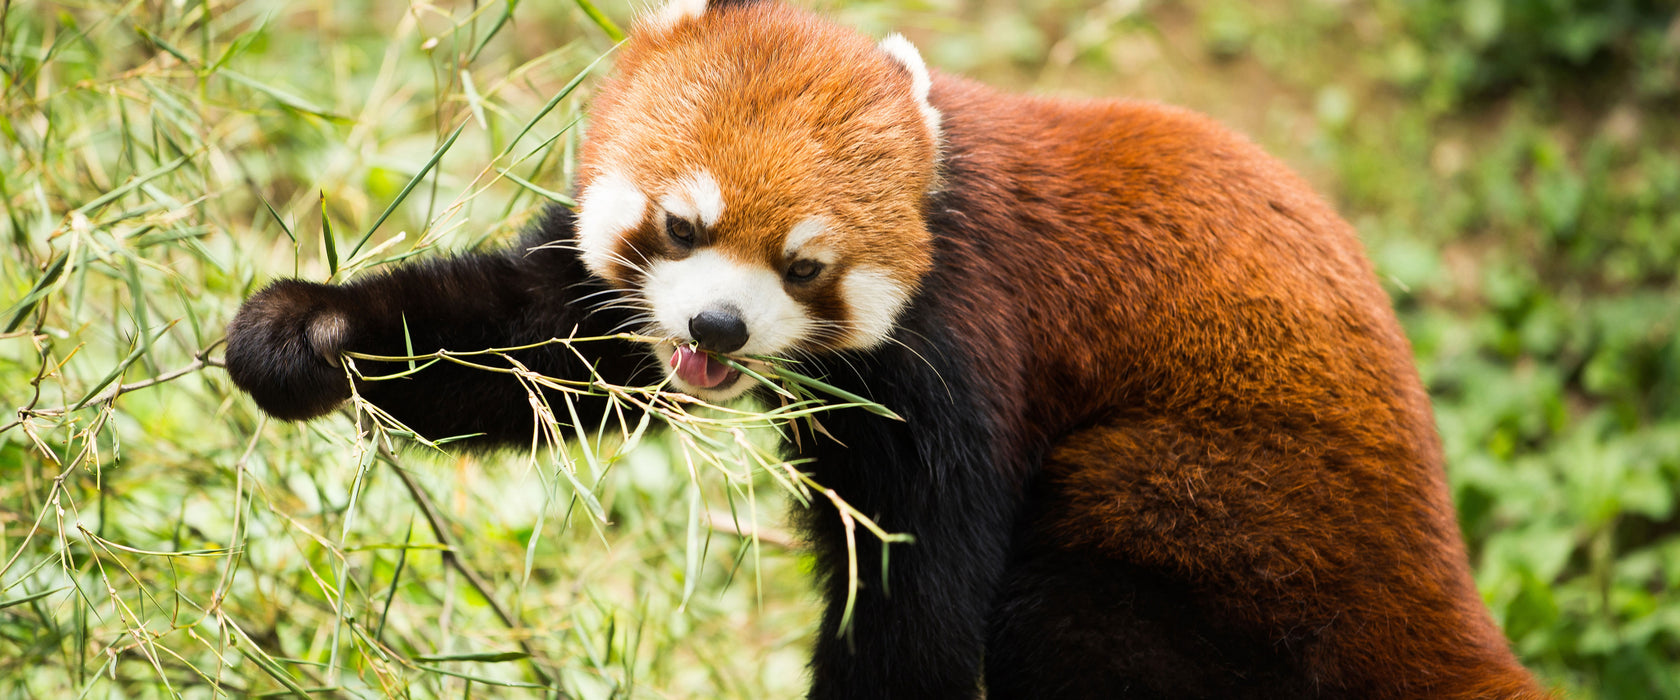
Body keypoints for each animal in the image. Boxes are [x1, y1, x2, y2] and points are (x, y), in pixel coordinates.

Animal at [223, 1, 1545, 698]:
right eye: (684, 226)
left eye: (805, 264)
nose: (717, 326)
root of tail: (1432, 574)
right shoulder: (622, 308)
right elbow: (541, 348)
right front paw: (308, 334)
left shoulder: (964, 351)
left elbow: (914, 612)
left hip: (1213, 509)